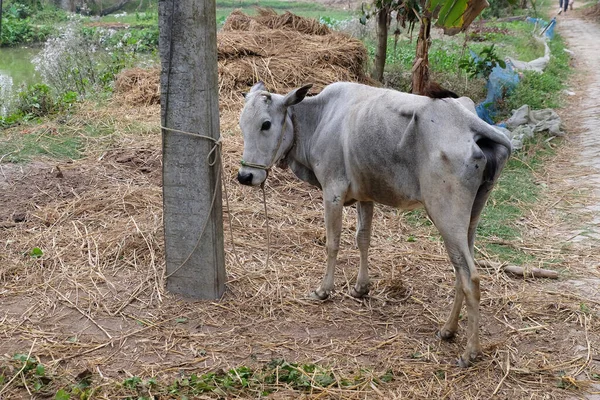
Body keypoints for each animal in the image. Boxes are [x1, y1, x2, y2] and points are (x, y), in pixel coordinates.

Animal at [234, 81, 510, 366]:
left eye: (266, 124)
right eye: (242, 124)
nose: (245, 176)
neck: (319, 118)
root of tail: (469, 122)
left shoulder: (332, 191)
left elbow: (333, 243)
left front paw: (323, 290)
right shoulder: (365, 196)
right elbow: (363, 239)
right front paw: (361, 288)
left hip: (447, 217)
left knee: (471, 277)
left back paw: (470, 351)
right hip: (470, 219)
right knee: (460, 272)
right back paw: (447, 330)